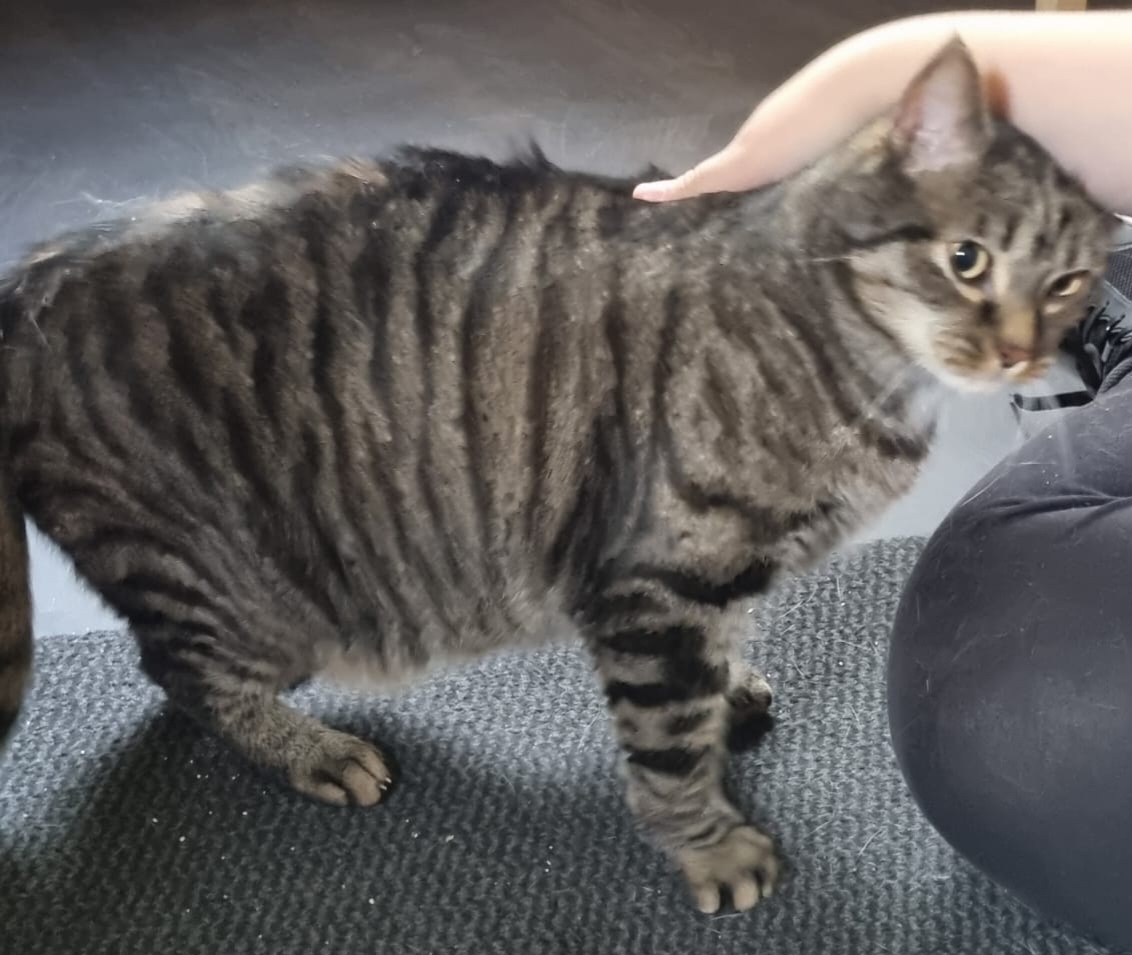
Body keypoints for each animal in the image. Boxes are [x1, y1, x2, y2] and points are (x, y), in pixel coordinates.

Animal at [0, 37, 1113, 914]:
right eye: (966, 259)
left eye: (1069, 281)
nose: (1020, 354)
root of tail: (26, 283)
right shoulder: (656, 579)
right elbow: (666, 742)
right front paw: (709, 846)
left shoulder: (718, 574)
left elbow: (718, 661)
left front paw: (731, 696)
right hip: (247, 594)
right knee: (176, 669)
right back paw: (308, 749)